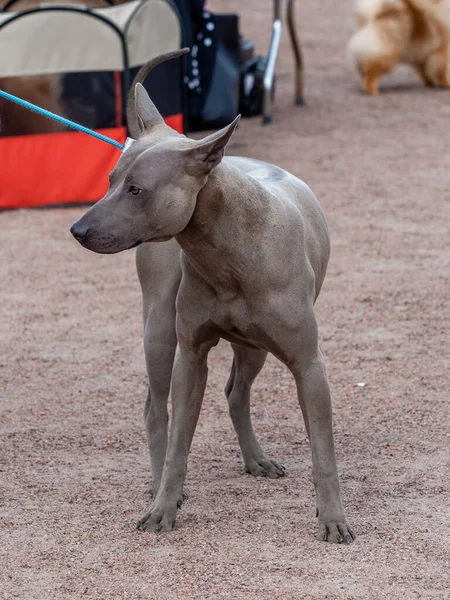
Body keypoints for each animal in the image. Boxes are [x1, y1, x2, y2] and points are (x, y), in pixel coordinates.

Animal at [70, 48, 356, 544]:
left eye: (136, 189)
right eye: (109, 180)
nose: (78, 229)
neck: (227, 252)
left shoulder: (309, 365)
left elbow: (324, 451)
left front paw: (333, 518)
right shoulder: (191, 356)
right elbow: (178, 442)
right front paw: (164, 506)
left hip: (254, 347)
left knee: (236, 393)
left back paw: (255, 458)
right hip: (160, 330)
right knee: (155, 409)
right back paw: (158, 481)